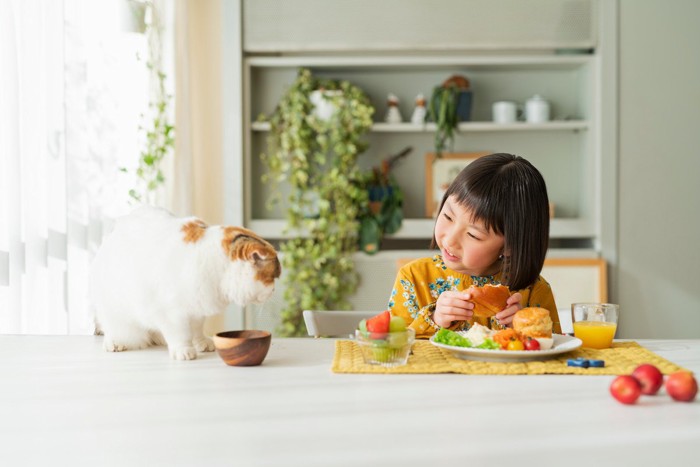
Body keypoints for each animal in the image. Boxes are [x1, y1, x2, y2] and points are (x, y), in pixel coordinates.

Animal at [89, 206, 280, 362]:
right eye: (272, 277)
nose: (274, 290)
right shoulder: (171, 313)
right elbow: (180, 333)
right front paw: (184, 350)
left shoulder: (198, 311)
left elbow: (196, 329)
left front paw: (201, 342)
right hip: (114, 312)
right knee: (112, 327)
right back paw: (115, 342)